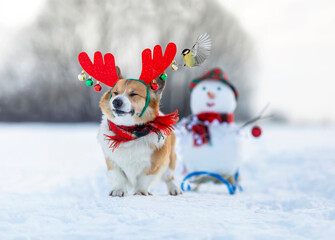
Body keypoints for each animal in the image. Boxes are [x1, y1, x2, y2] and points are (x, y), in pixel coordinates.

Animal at [98, 67, 181, 197]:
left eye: (133, 94)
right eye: (115, 93)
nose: (116, 101)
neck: (128, 131)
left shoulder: (154, 164)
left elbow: (143, 179)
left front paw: (140, 192)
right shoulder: (112, 161)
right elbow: (118, 177)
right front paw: (118, 190)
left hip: (170, 161)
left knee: (169, 176)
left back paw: (174, 189)